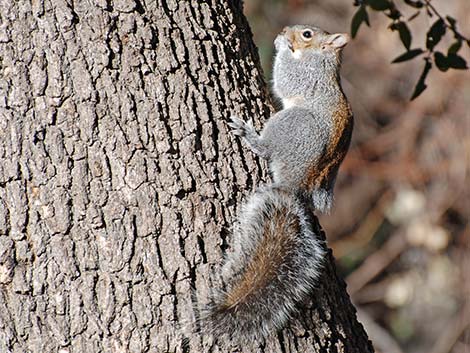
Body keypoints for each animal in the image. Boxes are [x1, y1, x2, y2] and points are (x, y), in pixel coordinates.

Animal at [196, 25, 354, 340]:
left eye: (307, 34)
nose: (285, 29)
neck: (325, 61)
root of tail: (294, 187)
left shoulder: (307, 76)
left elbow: (286, 78)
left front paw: (281, 45)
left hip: (293, 123)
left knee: (268, 149)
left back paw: (251, 136)